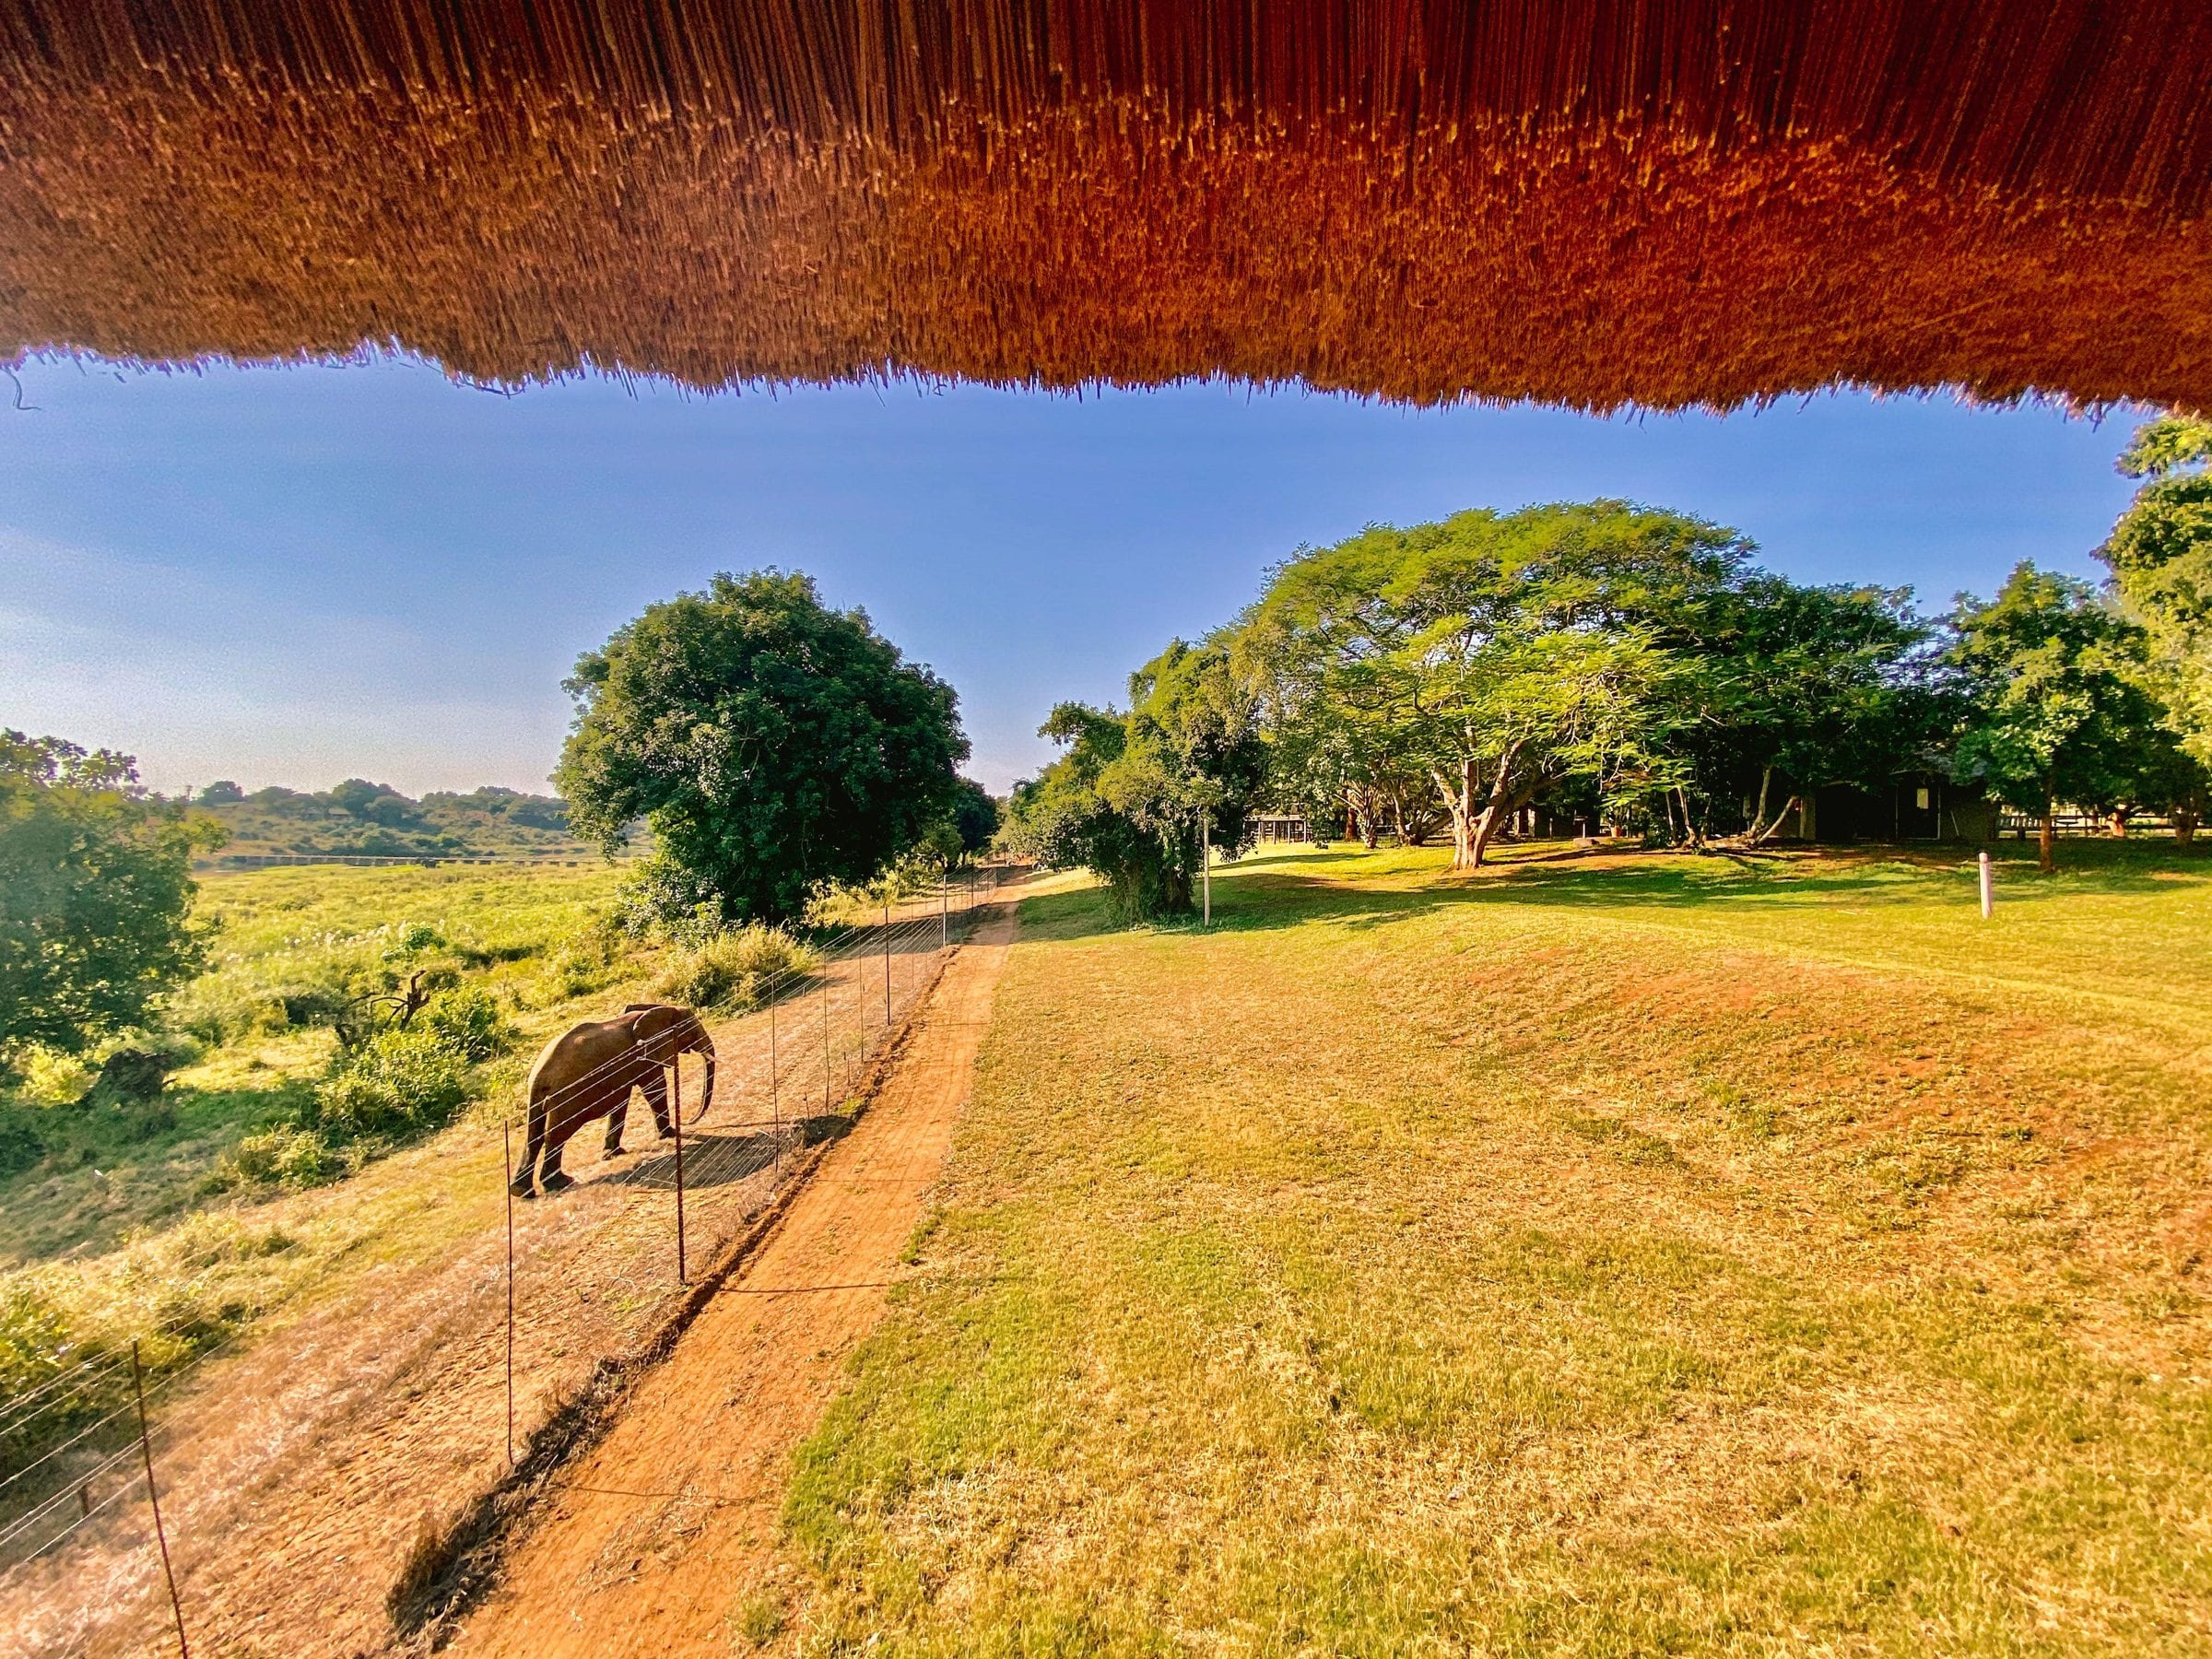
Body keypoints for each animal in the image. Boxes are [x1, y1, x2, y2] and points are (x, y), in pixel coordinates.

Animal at [510, 1003, 716, 1196]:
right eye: (693, 1030)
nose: (690, 1120)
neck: (660, 1009)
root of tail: (539, 1075)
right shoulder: (644, 1056)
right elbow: (655, 1089)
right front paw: (671, 1133)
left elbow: (621, 1101)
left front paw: (614, 1153)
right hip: (567, 1098)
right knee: (556, 1134)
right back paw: (561, 1183)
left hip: (538, 1098)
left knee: (533, 1136)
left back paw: (522, 1191)